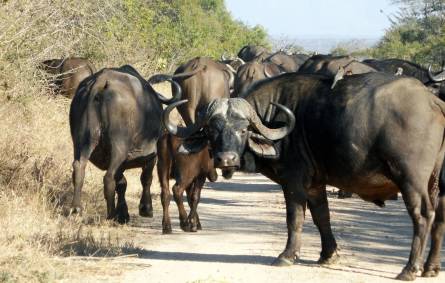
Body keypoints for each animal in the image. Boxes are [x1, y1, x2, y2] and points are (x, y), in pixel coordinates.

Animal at [163, 72, 444, 280]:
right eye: (213, 130)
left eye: (243, 129)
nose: (226, 159)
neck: (275, 122)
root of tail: (433, 102)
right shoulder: (315, 185)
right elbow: (322, 217)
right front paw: (328, 255)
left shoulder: (293, 182)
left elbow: (295, 218)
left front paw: (287, 255)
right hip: (437, 184)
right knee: (439, 218)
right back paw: (430, 268)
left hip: (410, 180)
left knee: (422, 216)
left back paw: (410, 269)